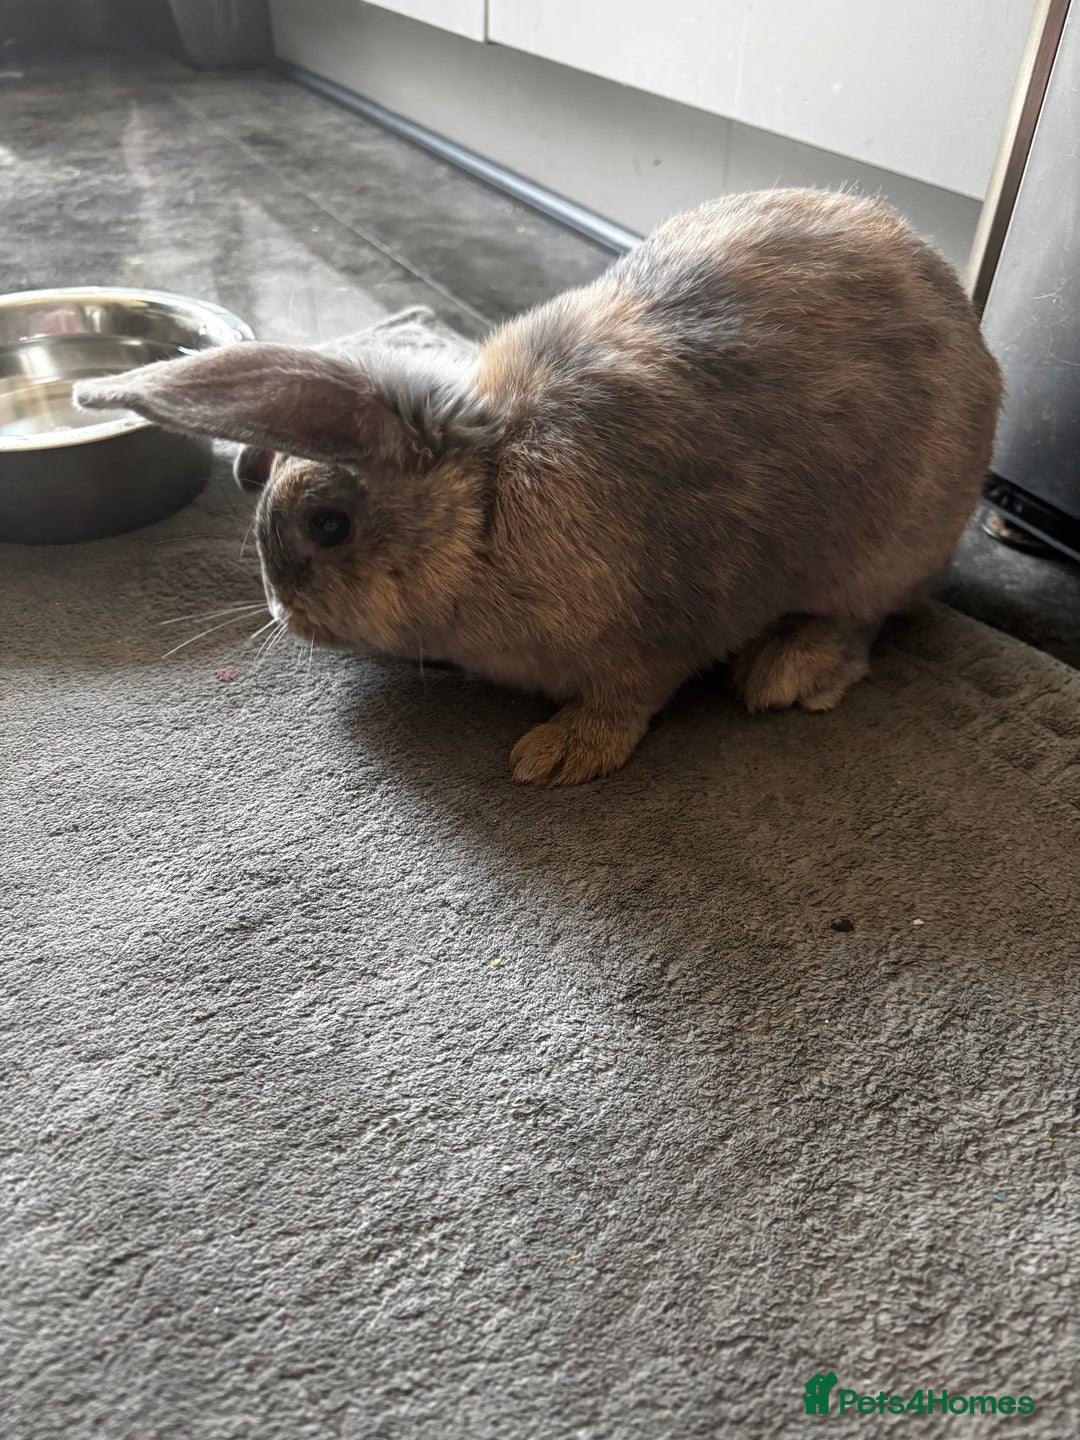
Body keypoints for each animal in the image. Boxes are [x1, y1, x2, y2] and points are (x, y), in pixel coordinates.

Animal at [76, 189, 1002, 786]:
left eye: (330, 525)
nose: (281, 612)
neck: (485, 497)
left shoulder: (659, 636)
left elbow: (628, 699)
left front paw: (554, 757)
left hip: (889, 549)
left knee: (871, 616)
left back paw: (792, 671)